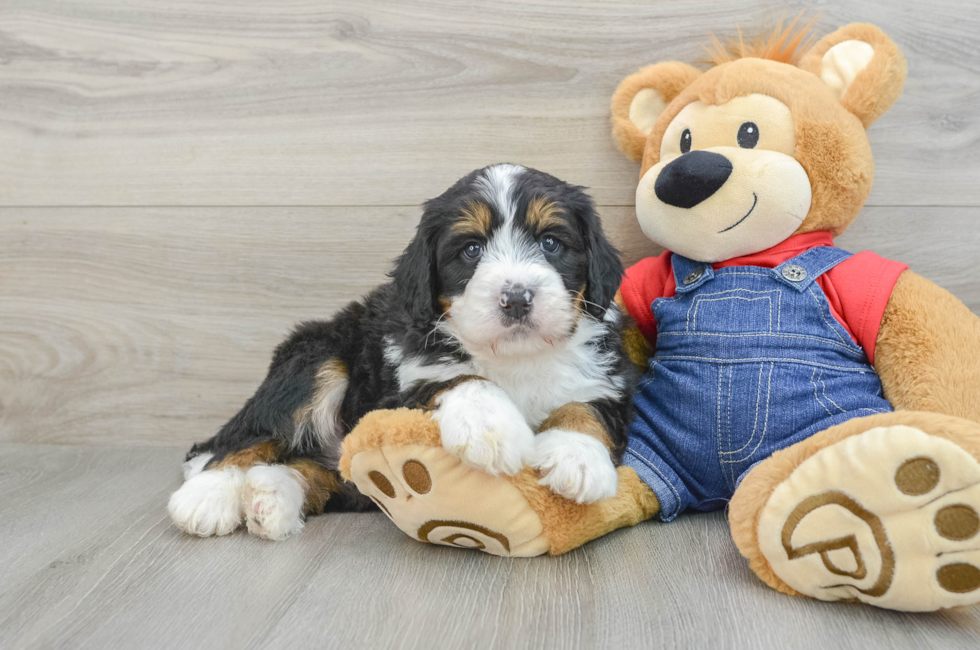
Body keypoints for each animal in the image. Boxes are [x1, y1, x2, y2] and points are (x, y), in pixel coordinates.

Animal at [168, 165, 636, 540]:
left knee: (322, 475)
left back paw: (271, 496)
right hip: (316, 356)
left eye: (551, 243)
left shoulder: (609, 378)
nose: (517, 298)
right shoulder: (400, 384)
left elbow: (585, 407)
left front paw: (576, 457)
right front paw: (491, 428)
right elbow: (461, 377)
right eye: (471, 249)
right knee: (249, 435)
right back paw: (208, 494)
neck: (514, 357)